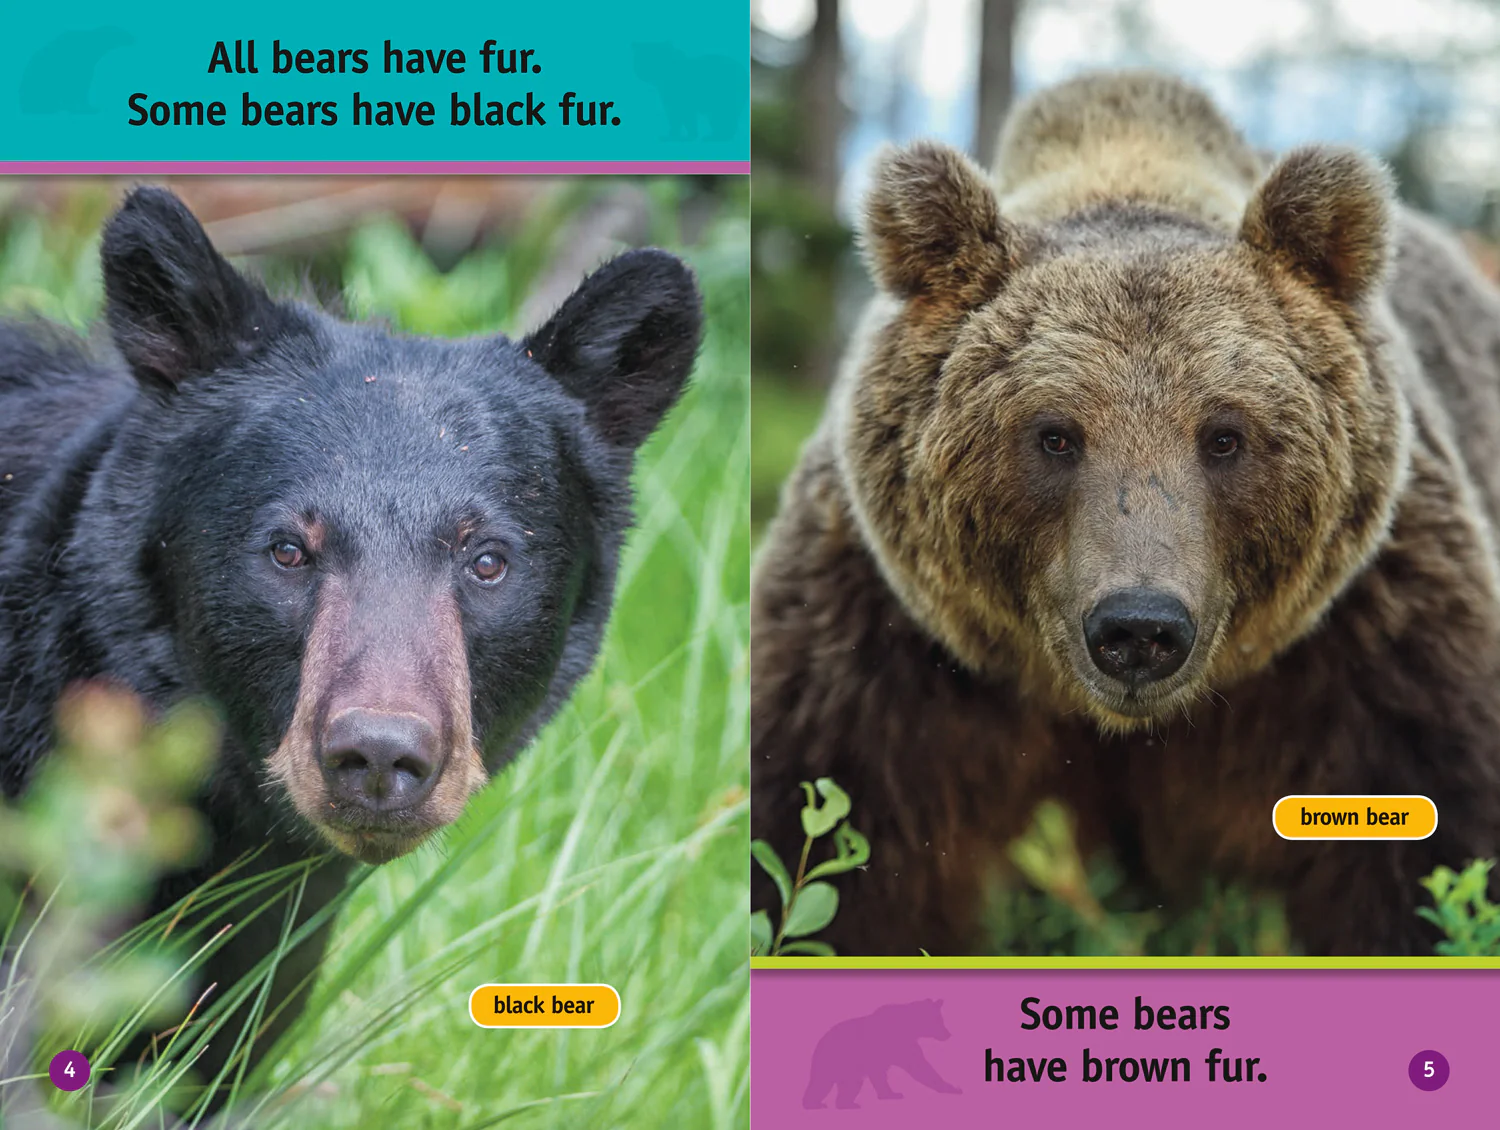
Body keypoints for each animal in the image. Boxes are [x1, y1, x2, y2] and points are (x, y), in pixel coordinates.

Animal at [750, 70, 1500, 956]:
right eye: (1054, 434)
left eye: (1224, 435)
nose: (1140, 626)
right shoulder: (879, 664)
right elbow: (835, 864)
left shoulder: (1376, 656)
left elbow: (1424, 866)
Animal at [802, 998, 961, 1109]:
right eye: (938, 1020)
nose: (948, 1034)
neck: (910, 1028)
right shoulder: (896, 1045)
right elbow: (919, 1066)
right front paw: (953, 1088)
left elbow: (881, 1076)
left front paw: (891, 1094)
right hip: (832, 1061)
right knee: (821, 1083)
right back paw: (814, 1104)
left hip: (850, 1070)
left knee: (850, 1085)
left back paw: (847, 1104)